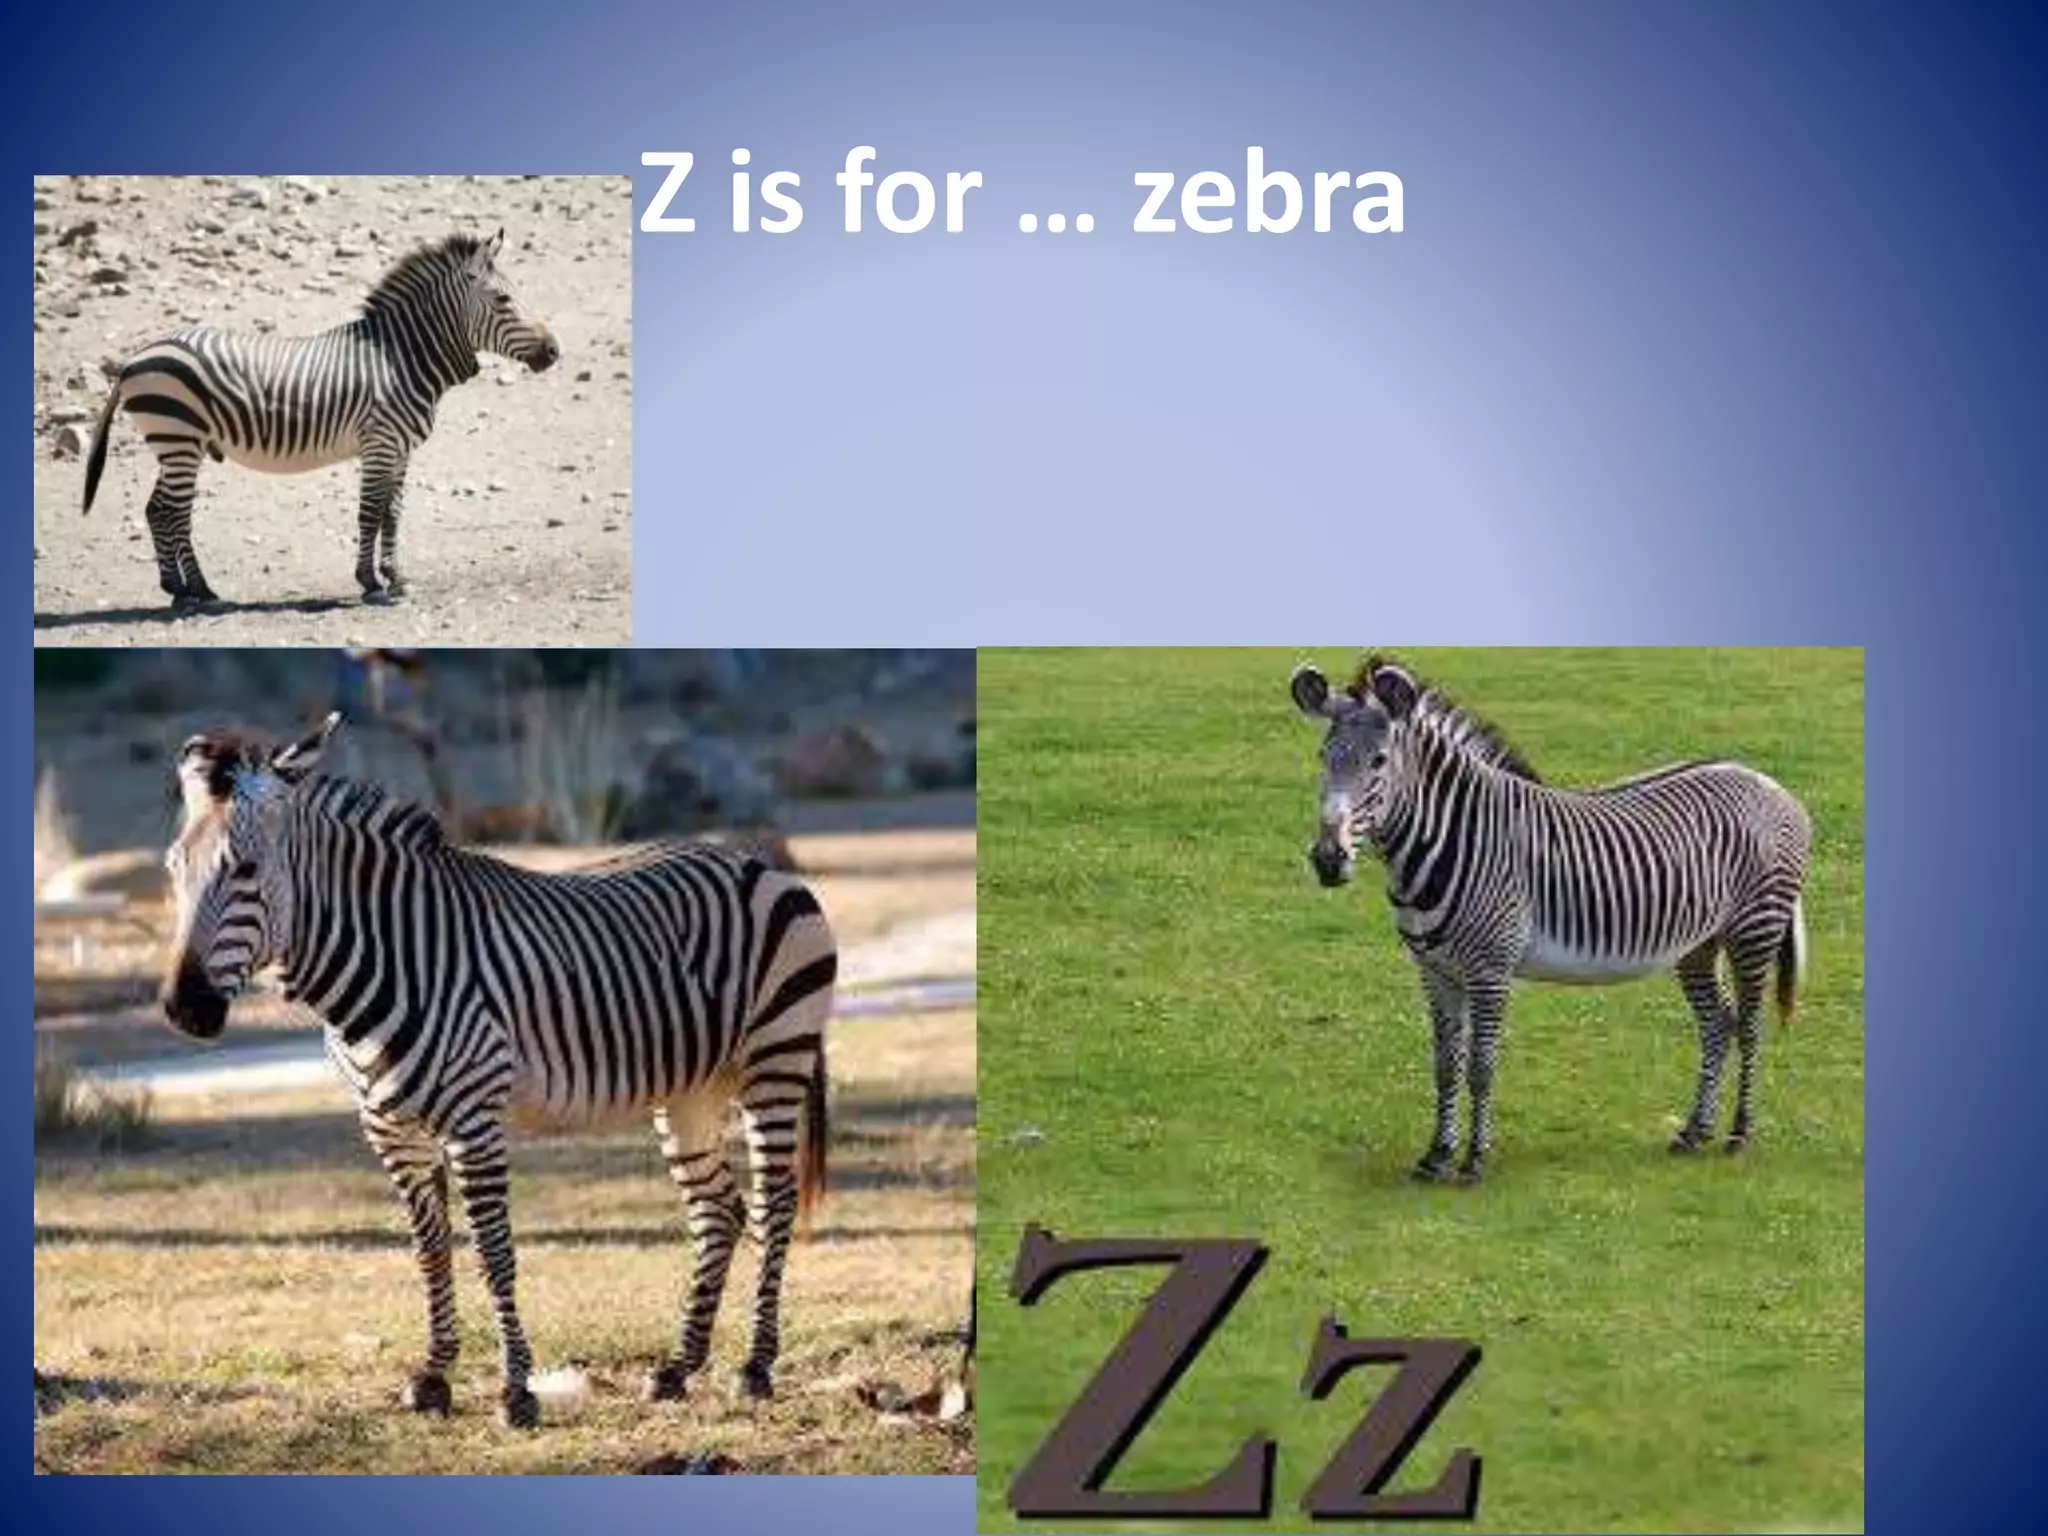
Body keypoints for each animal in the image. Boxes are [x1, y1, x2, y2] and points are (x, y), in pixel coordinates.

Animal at [83, 228, 559, 613]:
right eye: (503, 299)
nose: (555, 351)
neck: (400, 358)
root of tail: (131, 360)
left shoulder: (401, 449)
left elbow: (392, 513)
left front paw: (397, 578)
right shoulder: (380, 442)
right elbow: (369, 513)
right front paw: (370, 583)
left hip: (178, 444)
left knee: (158, 509)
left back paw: (183, 589)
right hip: (178, 438)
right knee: (171, 511)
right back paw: (193, 592)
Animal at [158, 714, 836, 1428]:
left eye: (247, 870)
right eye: (173, 868)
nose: (184, 1009)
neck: (386, 962)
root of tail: (759, 862)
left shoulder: (472, 1118)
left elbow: (492, 1251)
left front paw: (516, 1390)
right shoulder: (388, 1128)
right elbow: (431, 1251)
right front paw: (433, 1377)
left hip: (775, 1061)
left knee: (774, 1205)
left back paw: (755, 1367)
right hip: (691, 1091)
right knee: (718, 1211)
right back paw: (678, 1368)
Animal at [1289, 656, 1811, 1183]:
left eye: (1378, 761)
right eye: (1323, 756)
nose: (1328, 860)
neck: (1450, 842)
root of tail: (1764, 779)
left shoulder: (1490, 969)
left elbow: (1481, 1066)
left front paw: (1474, 1160)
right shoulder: (1435, 970)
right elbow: (1446, 1066)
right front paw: (1436, 1155)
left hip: (1754, 928)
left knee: (1749, 1026)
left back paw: (1739, 1134)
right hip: (1699, 944)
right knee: (1716, 1024)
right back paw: (1694, 1132)